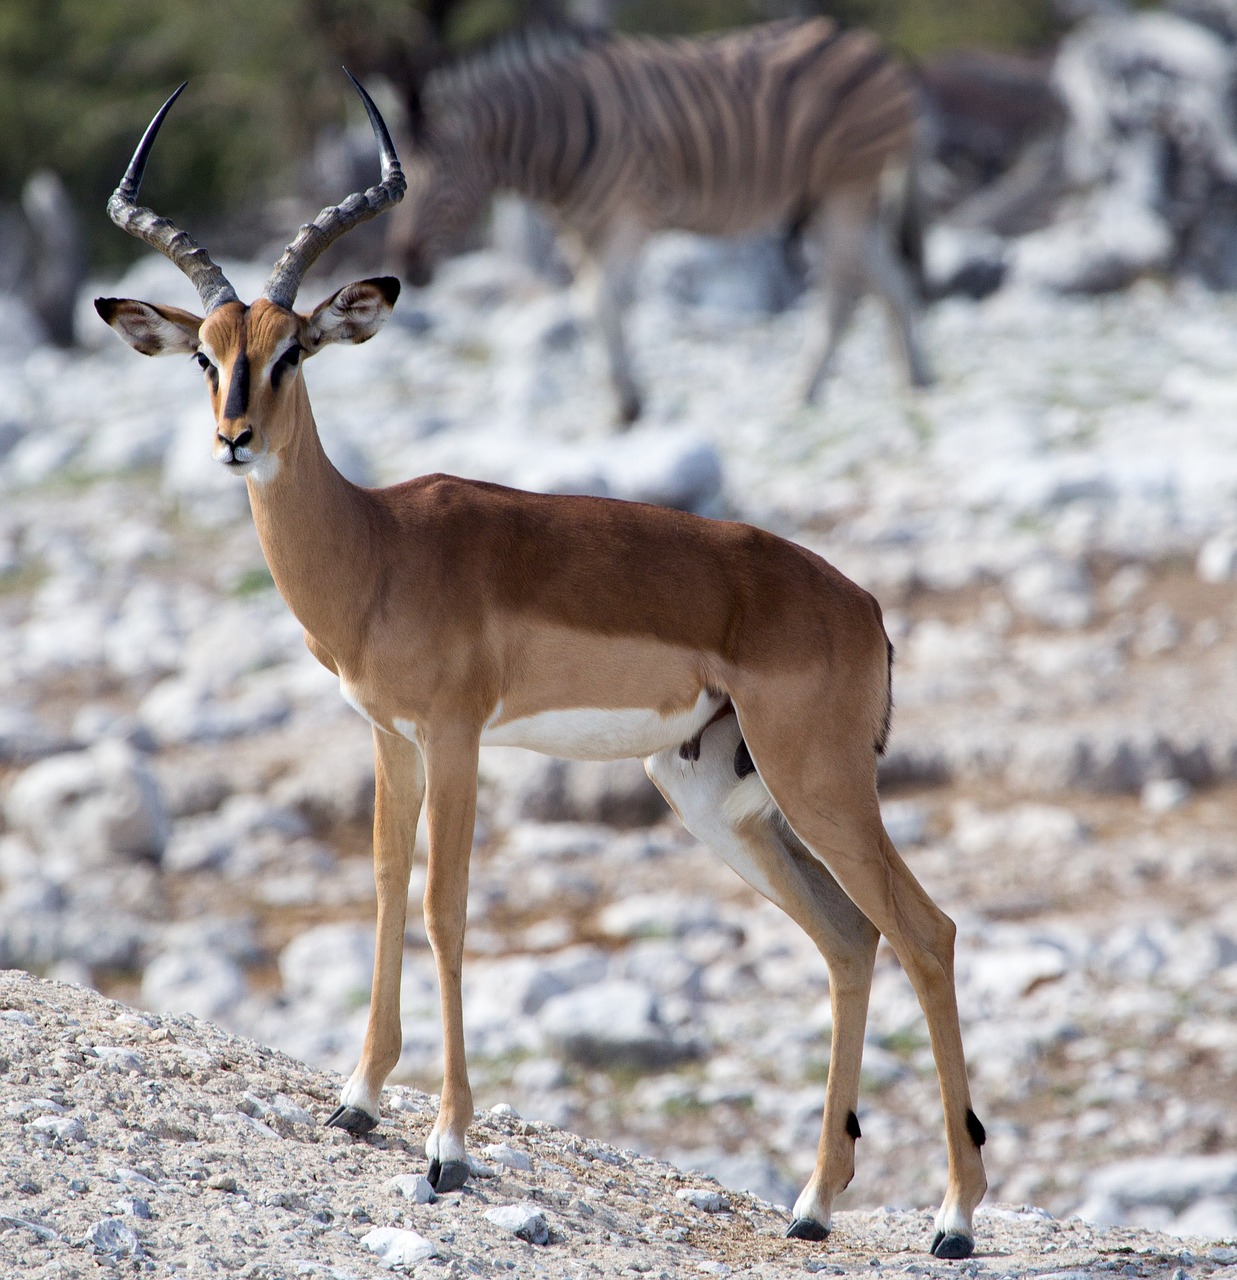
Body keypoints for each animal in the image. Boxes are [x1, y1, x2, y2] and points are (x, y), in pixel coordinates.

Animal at [391, 16, 932, 424]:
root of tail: (866, 40)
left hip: (846, 187)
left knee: (845, 289)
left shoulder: (627, 216)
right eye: (396, 178)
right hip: (822, 199)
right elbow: (589, 306)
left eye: (442, 175)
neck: (553, 134)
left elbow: (602, 302)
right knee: (886, 279)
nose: (408, 266)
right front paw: (621, 399)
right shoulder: (579, 231)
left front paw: (628, 406)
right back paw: (906, 378)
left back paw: (823, 387)